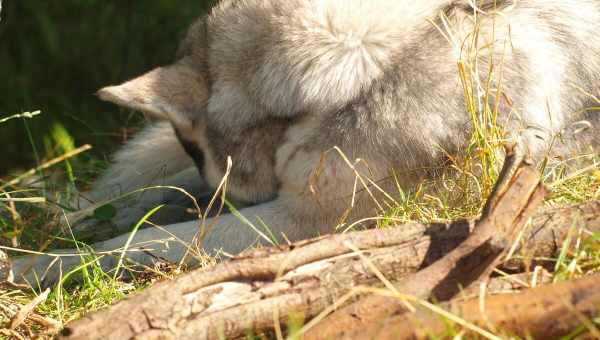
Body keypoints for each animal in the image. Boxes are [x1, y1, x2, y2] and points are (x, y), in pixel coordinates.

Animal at [10, 1, 600, 286]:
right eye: (195, 154)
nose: (213, 193)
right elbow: (154, 206)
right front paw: (63, 223)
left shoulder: (297, 224)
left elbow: (142, 242)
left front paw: (31, 264)